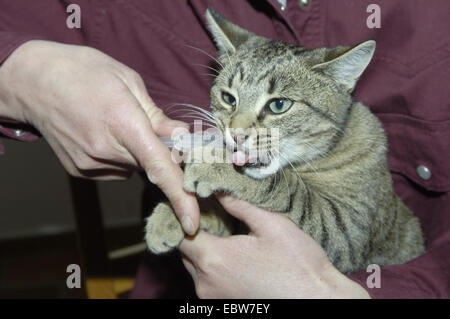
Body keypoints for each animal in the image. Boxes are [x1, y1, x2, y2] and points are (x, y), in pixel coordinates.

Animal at [145, 7, 426, 274]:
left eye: (279, 105)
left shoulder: (344, 230)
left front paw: (213, 164)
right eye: (228, 98)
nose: (235, 134)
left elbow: (288, 189)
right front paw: (170, 215)